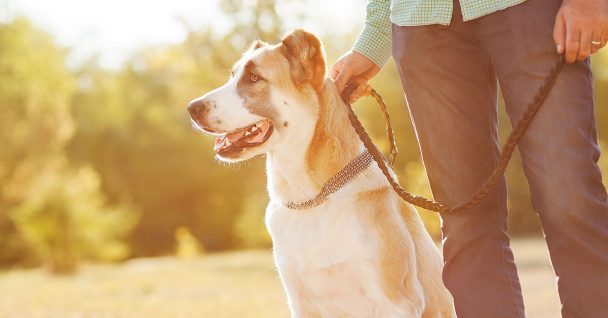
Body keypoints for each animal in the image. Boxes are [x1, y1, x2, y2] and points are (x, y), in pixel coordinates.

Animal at [188, 28, 454, 316]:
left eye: (254, 77)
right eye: (232, 75)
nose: (192, 108)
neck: (311, 199)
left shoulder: (396, 302)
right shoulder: (300, 302)